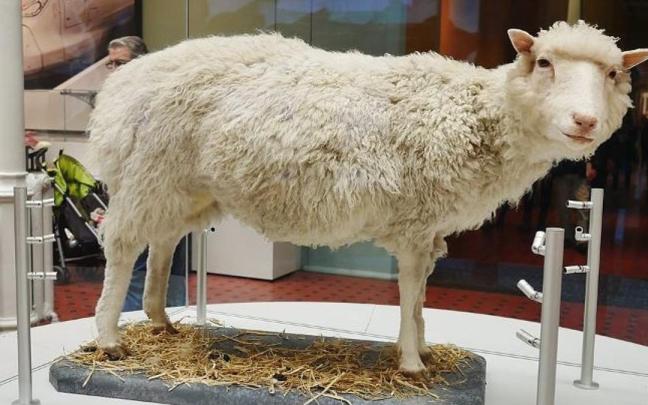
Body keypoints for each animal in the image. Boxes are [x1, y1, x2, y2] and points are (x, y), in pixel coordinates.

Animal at [89, 20, 648, 375]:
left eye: (613, 75)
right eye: (545, 62)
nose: (585, 122)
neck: (477, 115)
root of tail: (120, 88)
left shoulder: (429, 228)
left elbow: (421, 297)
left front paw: (422, 348)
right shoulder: (416, 223)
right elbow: (409, 291)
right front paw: (412, 362)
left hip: (183, 188)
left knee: (162, 244)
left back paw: (160, 321)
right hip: (149, 174)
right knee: (122, 246)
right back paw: (109, 338)